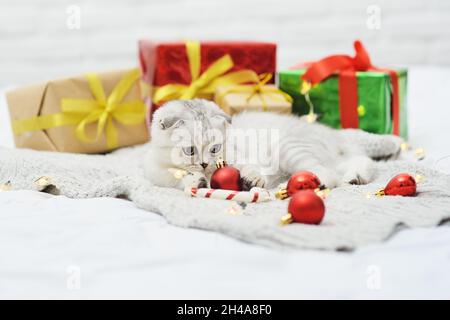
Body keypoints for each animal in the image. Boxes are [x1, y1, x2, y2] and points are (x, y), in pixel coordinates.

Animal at [143, 100, 400, 190]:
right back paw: (354, 178)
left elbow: (251, 167)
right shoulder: (158, 173)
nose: (206, 164)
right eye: (190, 150)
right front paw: (195, 180)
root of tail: (332, 135)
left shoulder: (242, 155)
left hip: (288, 148)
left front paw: (253, 179)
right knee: (356, 163)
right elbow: (179, 177)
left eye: (215, 148)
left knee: (328, 174)